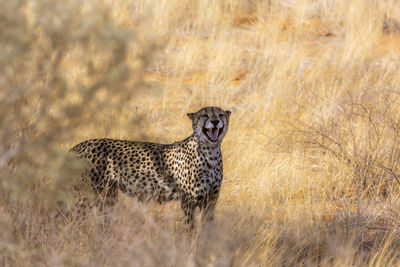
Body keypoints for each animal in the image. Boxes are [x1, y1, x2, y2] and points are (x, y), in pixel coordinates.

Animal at [71, 107, 231, 226]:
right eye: (205, 115)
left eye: (220, 114)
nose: (215, 121)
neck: (211, 152)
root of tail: (80, 145)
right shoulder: (188, 201)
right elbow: (190, 228)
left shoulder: (211, 201)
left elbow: (207, 228)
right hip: (87, 194)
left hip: (107, 195)